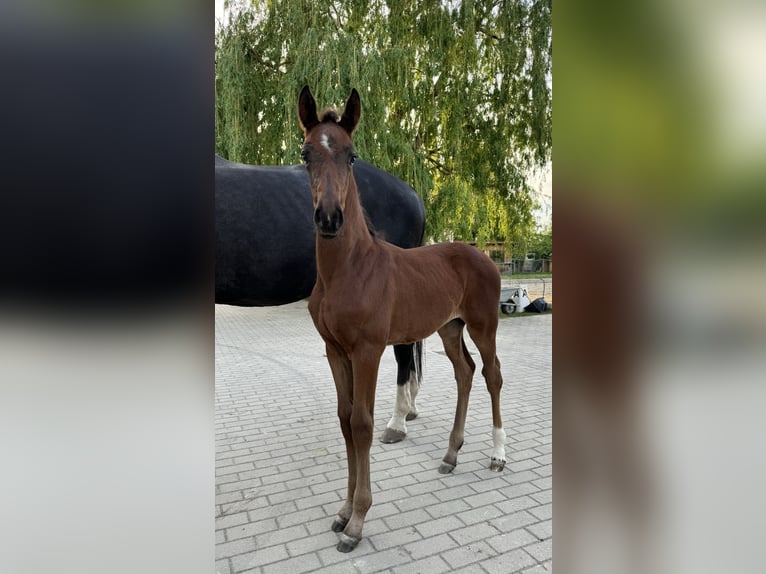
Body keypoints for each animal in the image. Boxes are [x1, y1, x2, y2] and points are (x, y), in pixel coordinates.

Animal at [300, 88, 510, 556]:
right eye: (305, 154)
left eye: (352, 156)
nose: (329, 218)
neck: (349, 269)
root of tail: (482, 254)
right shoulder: (334, 351)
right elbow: (344, 419)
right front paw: (342, 512)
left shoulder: (368, 350)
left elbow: (362, 424)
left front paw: (358, 522)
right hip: (449, 328)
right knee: (465, 372)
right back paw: (451, 455)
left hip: (484, 325)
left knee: (492, 375)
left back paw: (498, 454)